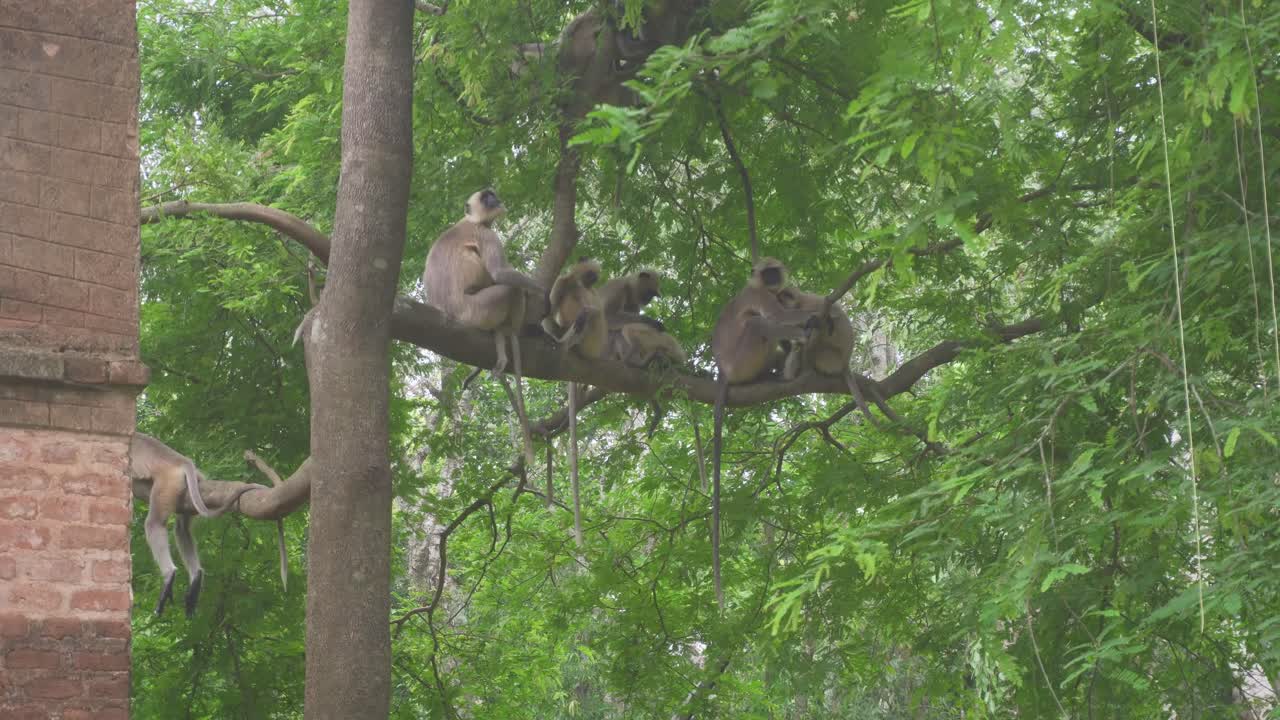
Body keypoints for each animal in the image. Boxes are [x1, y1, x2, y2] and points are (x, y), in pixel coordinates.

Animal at [129, 433, 268, 617]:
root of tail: (180, 460)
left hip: (168, 483)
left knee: (154, 523)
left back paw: (169, 575)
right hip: (190, 485)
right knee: (182, 528)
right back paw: (196, 577)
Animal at [423, 188, 545, 467]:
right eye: (486, 198)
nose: (495, 200)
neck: (471, 220)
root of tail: (451, 314)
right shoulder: (486, 234)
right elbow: (500, 274)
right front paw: (543, 291)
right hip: (478, 310)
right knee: (510, 288)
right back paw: (508, 333)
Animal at [708, 257, 818, 609]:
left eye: (774, 271)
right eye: (765, 273)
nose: (772, 279)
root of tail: (723, 370)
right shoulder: (758, 296)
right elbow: (779, 317)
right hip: (743, 358)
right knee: (762, 325)